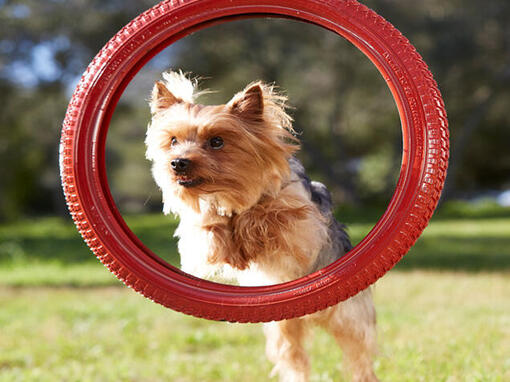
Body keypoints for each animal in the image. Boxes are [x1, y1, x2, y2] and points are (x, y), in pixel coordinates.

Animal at [145, 71, 376, 382]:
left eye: (217, 141)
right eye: (173, 141)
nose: (178, 163)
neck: (228, 191)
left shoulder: (300, 222)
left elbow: (266, 214)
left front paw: (246, 226)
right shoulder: (197, 231)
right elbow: (210, 227)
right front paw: (229, 242)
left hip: (348, 314)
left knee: (357, 350)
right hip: (282, 327)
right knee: (292, 354)